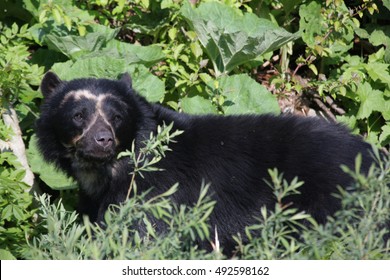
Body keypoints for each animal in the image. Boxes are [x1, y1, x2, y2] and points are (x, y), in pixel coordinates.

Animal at [35, 71, 374, 253]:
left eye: (117, 117)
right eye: (79, 115)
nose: (102, 140)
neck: (107, 171)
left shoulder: (155, 192)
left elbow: (144, 233)